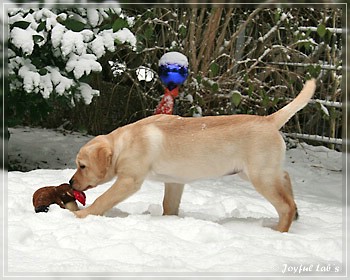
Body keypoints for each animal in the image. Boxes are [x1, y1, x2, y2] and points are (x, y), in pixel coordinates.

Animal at [70, 79, 318, 232]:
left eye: (82, 166)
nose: (70, 183)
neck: (123, 143)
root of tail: (269, 120)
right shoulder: (174, 182)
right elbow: (169, 206)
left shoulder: (129, 180)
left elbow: (103, 199)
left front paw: (83, 216)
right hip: (256, 172)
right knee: (285, 178)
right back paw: (296, 212)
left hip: (260, 176)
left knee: (284, 205)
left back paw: (279, 230)